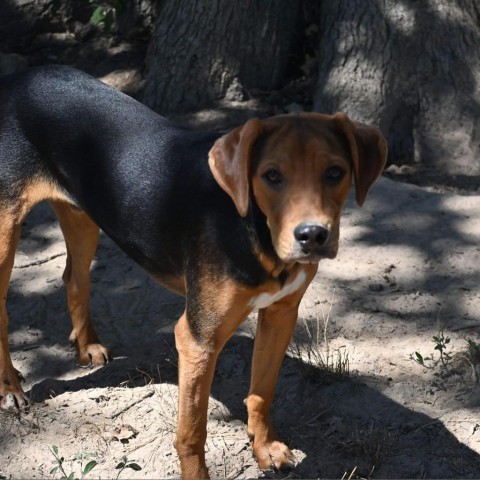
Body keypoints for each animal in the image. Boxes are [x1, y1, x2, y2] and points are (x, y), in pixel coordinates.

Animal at [0, 65, 386, 478]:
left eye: (335, 172)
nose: (312, 235)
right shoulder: (198, 339)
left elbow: (262, 392)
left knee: (75, 278)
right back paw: (11, 390)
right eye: (271, 175)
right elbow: (192, 433)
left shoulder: (280, 313)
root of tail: (24, 75)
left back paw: (87, 346)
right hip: (6, 232)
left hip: (83, 215)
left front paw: (265, 447)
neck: (252, 228)